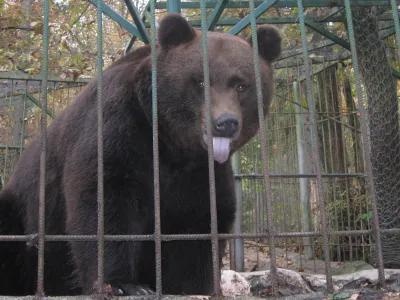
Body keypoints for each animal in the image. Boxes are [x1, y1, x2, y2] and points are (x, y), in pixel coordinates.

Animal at [0, 13, 282, 296]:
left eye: (241, 85)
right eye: (201, 81)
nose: (225, 122)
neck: (171, 144)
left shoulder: (202, 173)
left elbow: (200, 224)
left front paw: (194, 285)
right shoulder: (119, 129)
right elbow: (104, 201)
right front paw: (123, 284)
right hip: (25, 218)